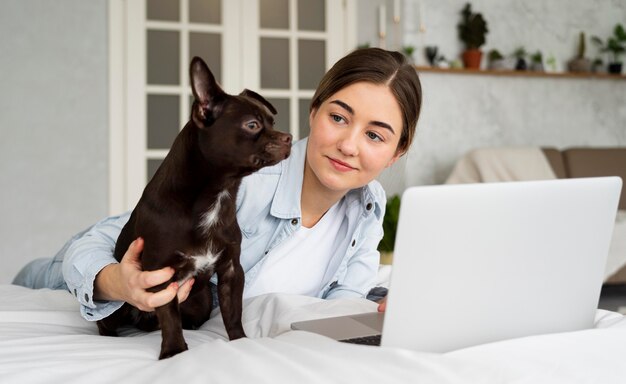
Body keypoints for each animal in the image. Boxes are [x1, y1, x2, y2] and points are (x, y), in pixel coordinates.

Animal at [96, 55, 292, 358]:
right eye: (252, 125)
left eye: (273, 121)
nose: (288, 137)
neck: (218, 194)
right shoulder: (160, 275)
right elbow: (169, 315)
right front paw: (174, 351)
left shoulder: (231, 271)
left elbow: (233, 312)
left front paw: (240, 341)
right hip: (117, 308)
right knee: (107, 322)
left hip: (201, 302)